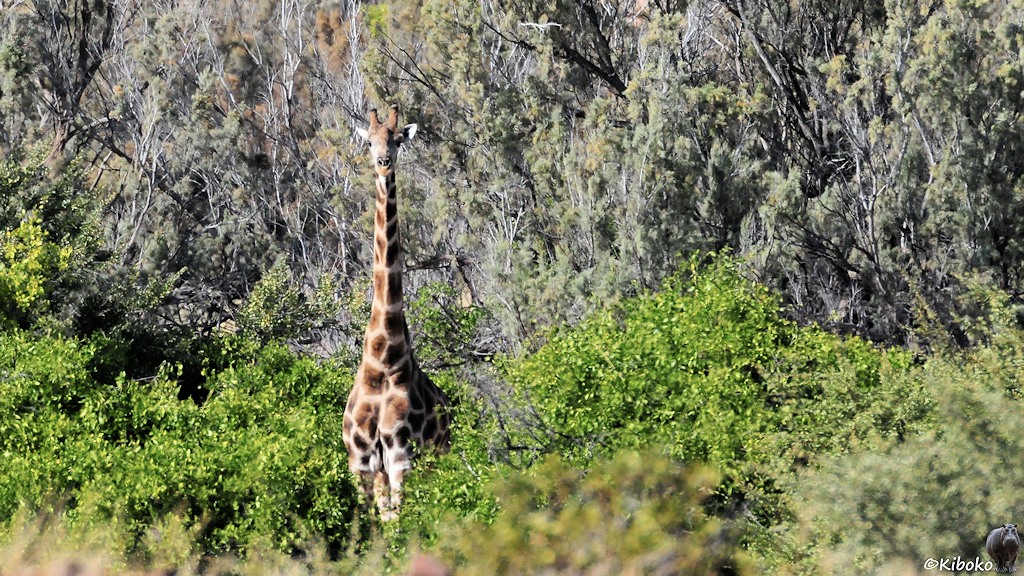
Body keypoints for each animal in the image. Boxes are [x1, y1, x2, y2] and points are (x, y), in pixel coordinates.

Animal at [343, 105, 451, 522]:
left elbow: (397, 521)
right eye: (370, 141)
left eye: (397, 140)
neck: (384, 359)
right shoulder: (360, 457)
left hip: (436, 458)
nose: (383, 163)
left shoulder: (400, 452)